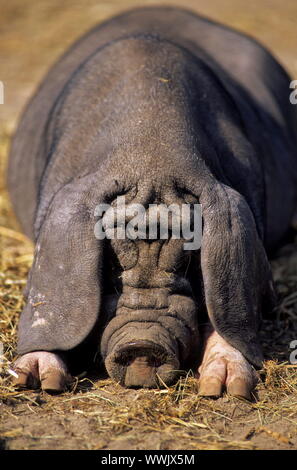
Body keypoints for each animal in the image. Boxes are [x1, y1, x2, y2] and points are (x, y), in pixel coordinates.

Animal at [6, 5, 296, 398]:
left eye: (190, 266)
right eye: (110, 269)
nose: (143, 346)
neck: (149, 154)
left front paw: (223, 388)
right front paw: (35, 380)